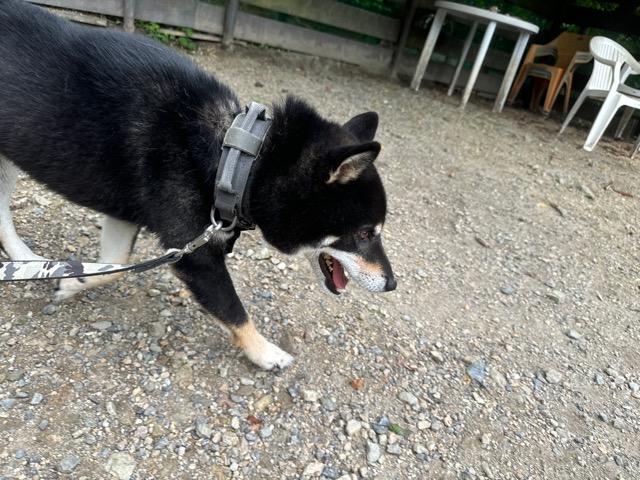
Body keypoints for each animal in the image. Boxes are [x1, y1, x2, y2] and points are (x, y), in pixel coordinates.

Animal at [0, 0, 396, 369]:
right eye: (364, 234)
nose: (392, 284)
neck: (237, 156)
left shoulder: (127, 216)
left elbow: (114, 263)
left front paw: (73, 281)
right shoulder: (193, 253)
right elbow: (234, 310)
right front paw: (266, 353)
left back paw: (28, 264)